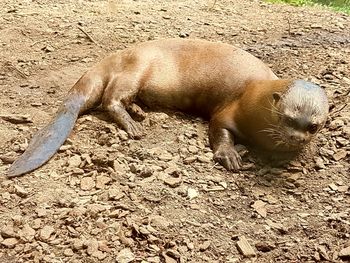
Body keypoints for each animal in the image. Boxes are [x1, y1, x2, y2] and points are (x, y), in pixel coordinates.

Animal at [5, 39, 328, 178]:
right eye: (287, 117)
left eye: (313, 125)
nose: (296, 137)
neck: (254, 95)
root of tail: (112, 57)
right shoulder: (230, 112)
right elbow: (218, 128)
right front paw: (230, 155)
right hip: (135, 68)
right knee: (111, 98)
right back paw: (133, 125)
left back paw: (139, 113)